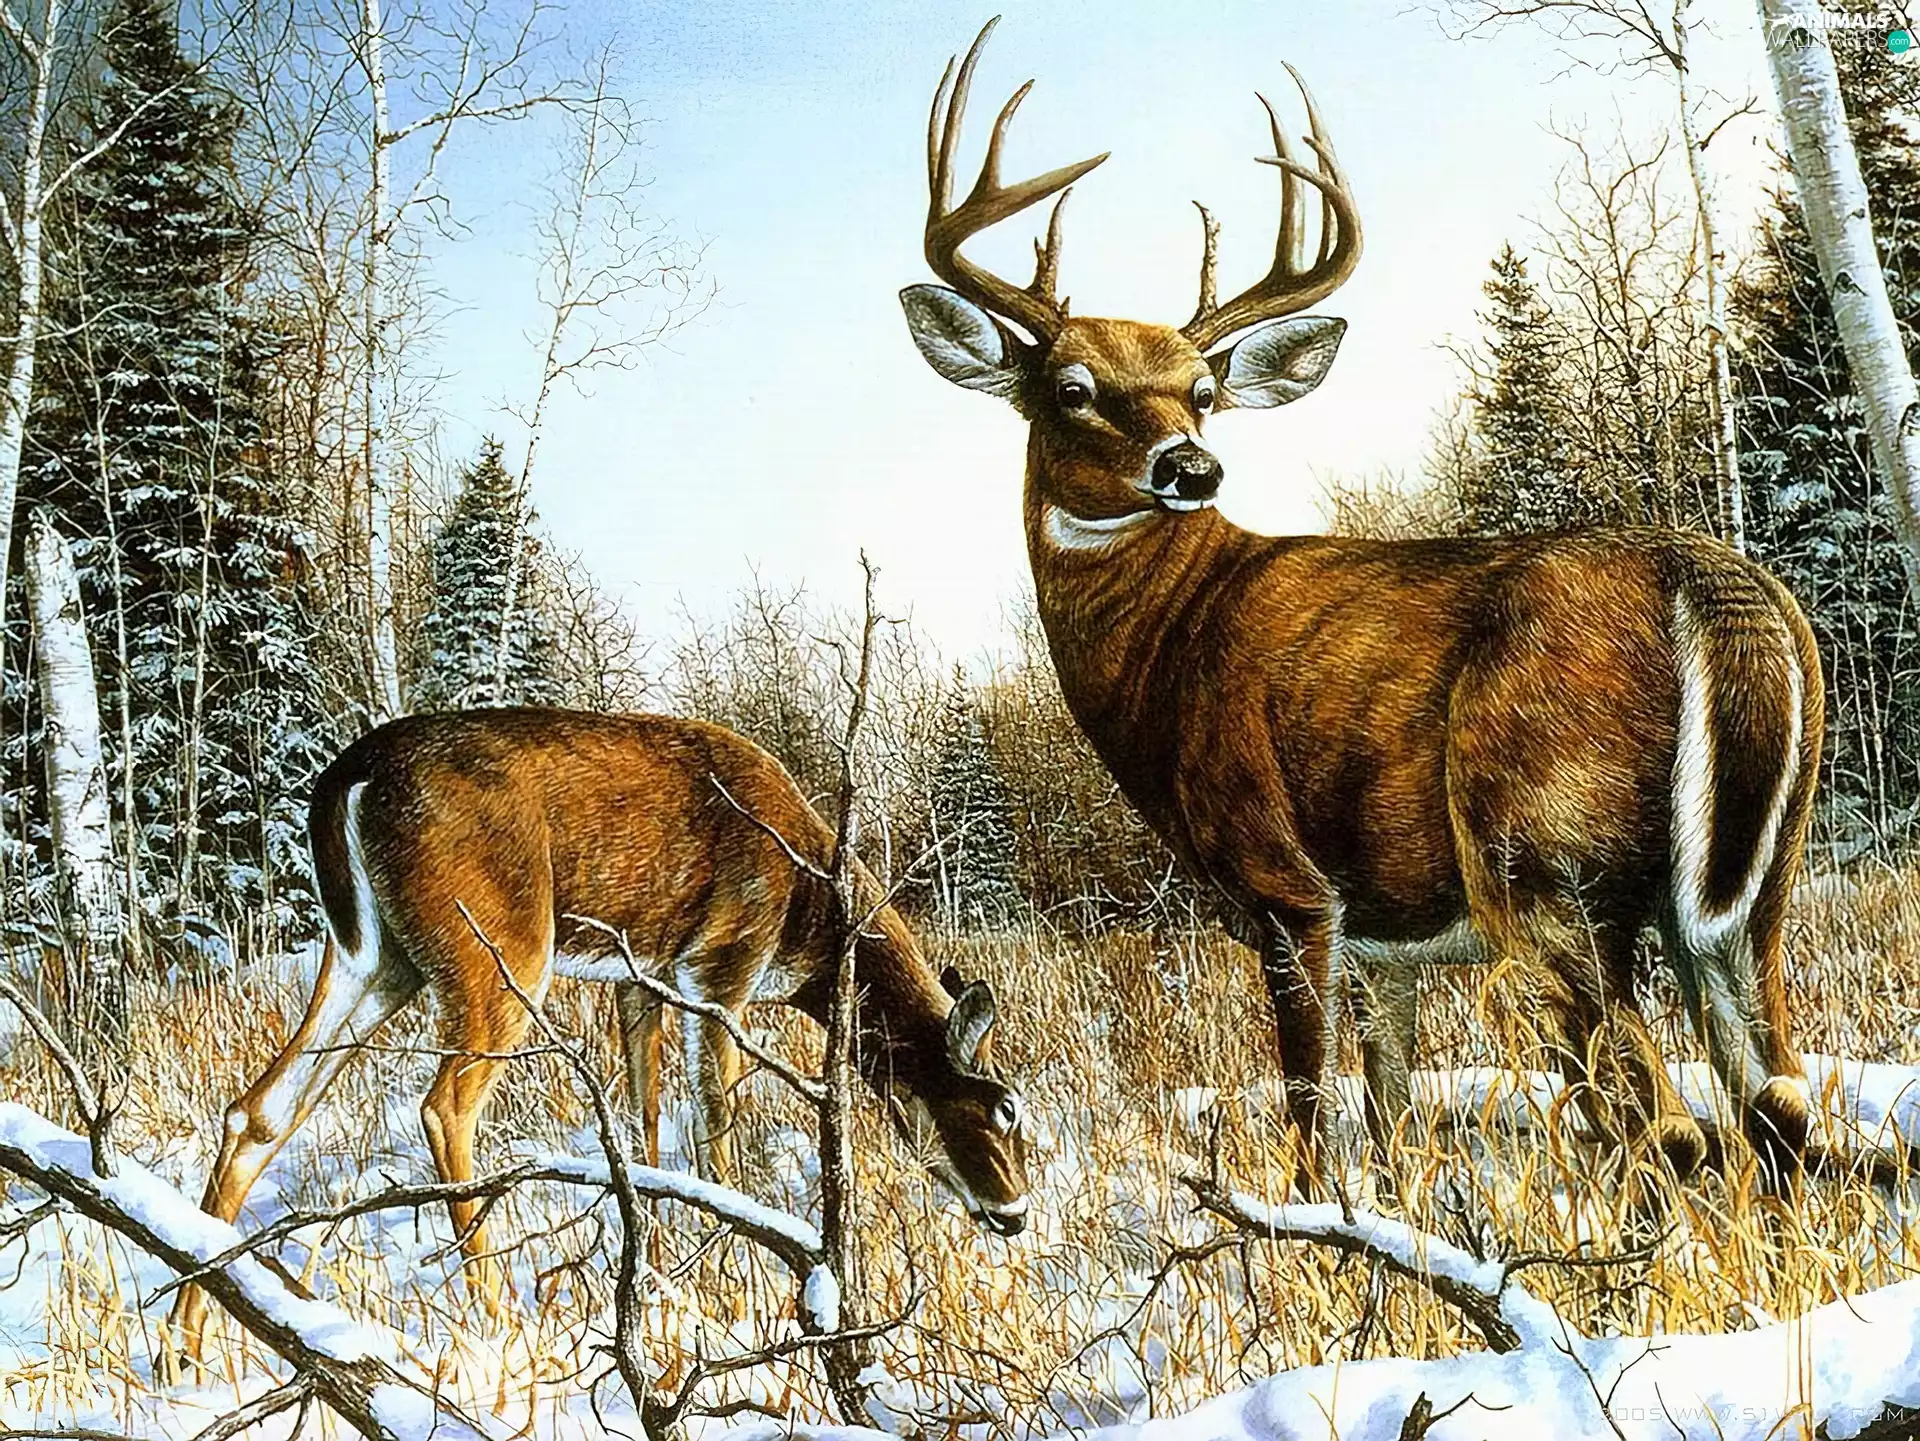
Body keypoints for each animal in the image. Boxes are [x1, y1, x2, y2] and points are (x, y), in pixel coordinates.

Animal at [172, 707, 1030, 1361]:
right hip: (499, 949)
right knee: (445, 1105)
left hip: (376, 957)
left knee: (260, 1108)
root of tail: (347, 779)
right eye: (999, 1110)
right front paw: (736, 1275)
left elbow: (646, 1117)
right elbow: (714, 1118)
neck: (815, 922)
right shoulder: (721, 966)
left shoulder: (638, 977)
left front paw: (662, 1261)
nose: (1016, 1211)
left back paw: (190, 1337)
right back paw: (496, 1312)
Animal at [900, 18, 1821, 1193]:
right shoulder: (1389, 943)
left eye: (1202, 391)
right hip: (1754, 891)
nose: (1191, 466)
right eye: (1070, 388)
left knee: (1663, 1121)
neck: (1170, 636)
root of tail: (1714, 584)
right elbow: (1388, 1113)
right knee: (1777, 1110)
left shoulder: (1288, 885)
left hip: (1543, 866)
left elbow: (1307, 1109)